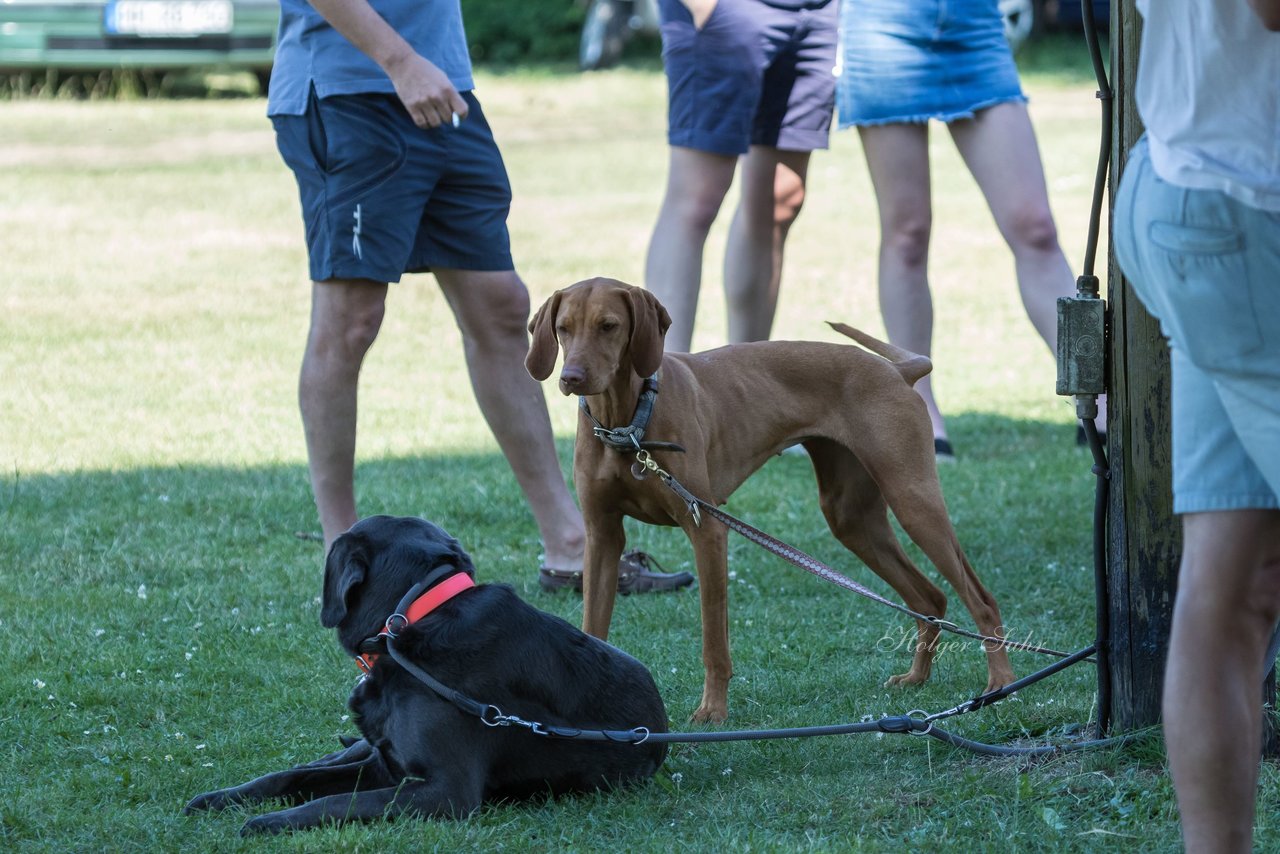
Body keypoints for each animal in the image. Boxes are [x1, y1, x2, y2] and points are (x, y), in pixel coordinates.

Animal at [522, 279, 1008, 722]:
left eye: (609, 326)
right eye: (563, 328)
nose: (571, 378)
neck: (628, 424)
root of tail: (895, 371)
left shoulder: (706, 529)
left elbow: (713, 642)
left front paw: (712, 711)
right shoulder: (602, 536)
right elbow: (593, 628)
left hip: (913, 499)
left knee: (981, 599)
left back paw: (999, 685)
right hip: (852, 519)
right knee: (930, 599)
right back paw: (917, 679)